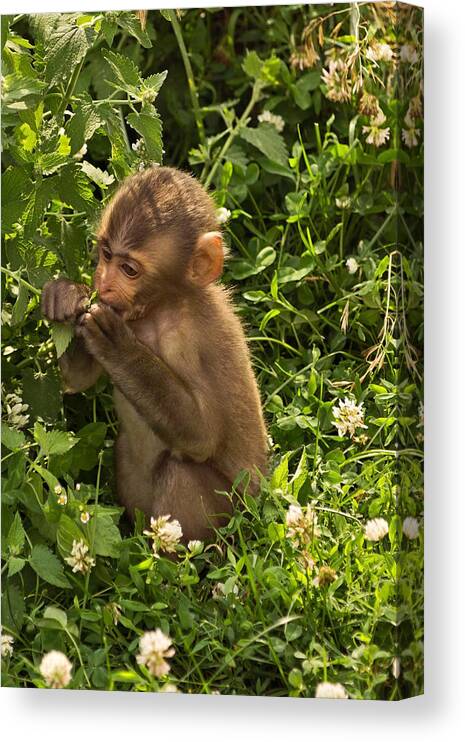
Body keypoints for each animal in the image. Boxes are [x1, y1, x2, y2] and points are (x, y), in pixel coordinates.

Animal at [44, 167, 268, 540]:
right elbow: (77, 379)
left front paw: (118, 348)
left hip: (230, 516)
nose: (103, 284)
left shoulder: (188, 338)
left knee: (181, 472)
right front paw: (65, 296)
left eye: (129, 270)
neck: (160, 307)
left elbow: (203, 435)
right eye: (106, 254)